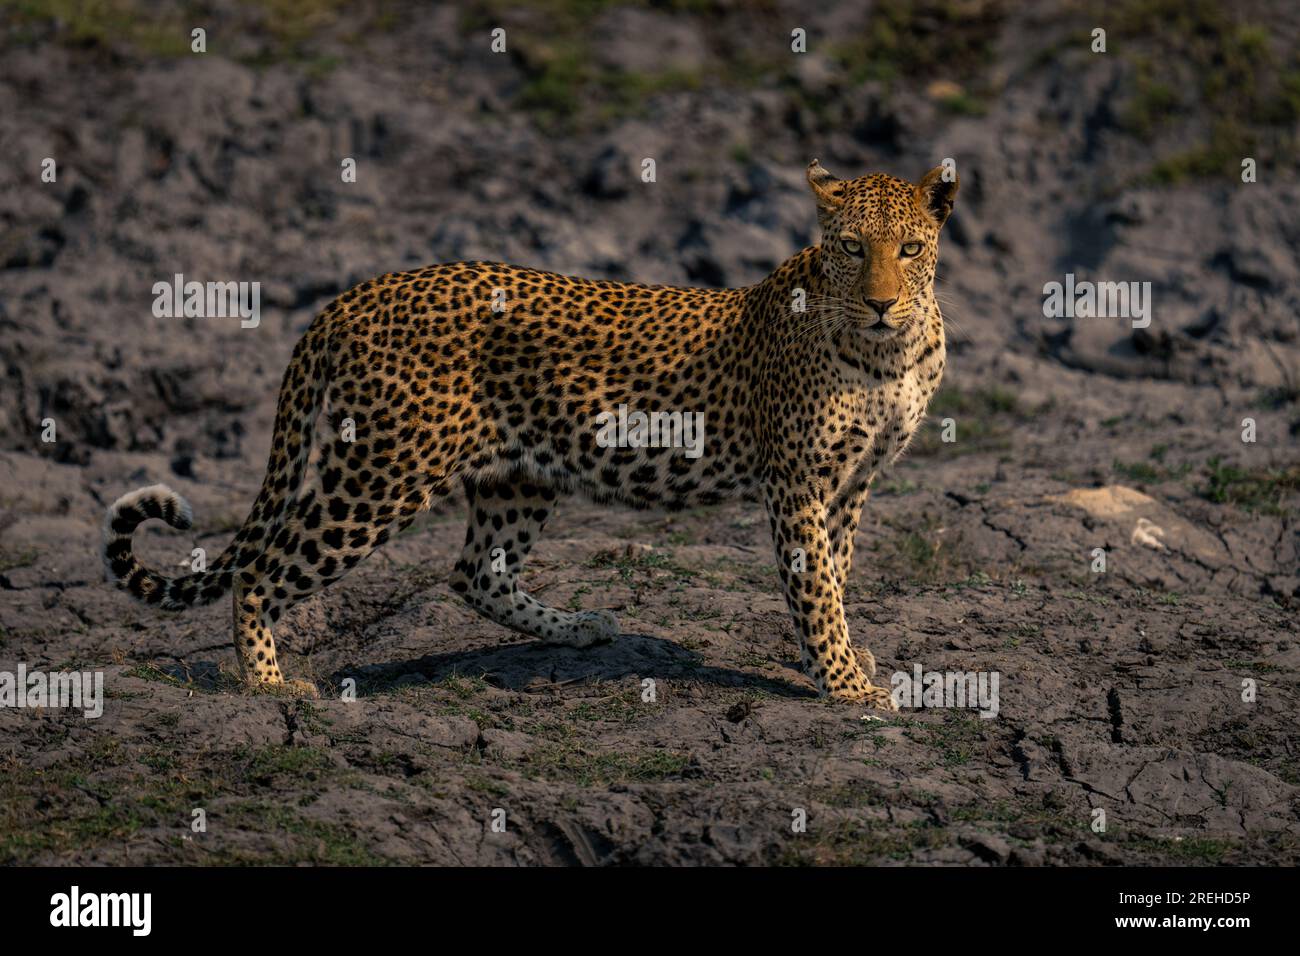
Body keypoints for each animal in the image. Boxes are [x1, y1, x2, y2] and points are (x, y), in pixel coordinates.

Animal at [102, 160, 958, 709]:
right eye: (852, 247)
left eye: (910, 248)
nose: (882, 301)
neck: (886, 353)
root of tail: (353, 294)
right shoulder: (798, 481)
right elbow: (814, 586)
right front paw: (846, 685)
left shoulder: (853, 480)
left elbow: (837, 573)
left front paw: (849, 657)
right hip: (381, 472)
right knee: (264, 566)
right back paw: (267, 682)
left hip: (518, 472)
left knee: (473, 571)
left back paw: (579, 628)